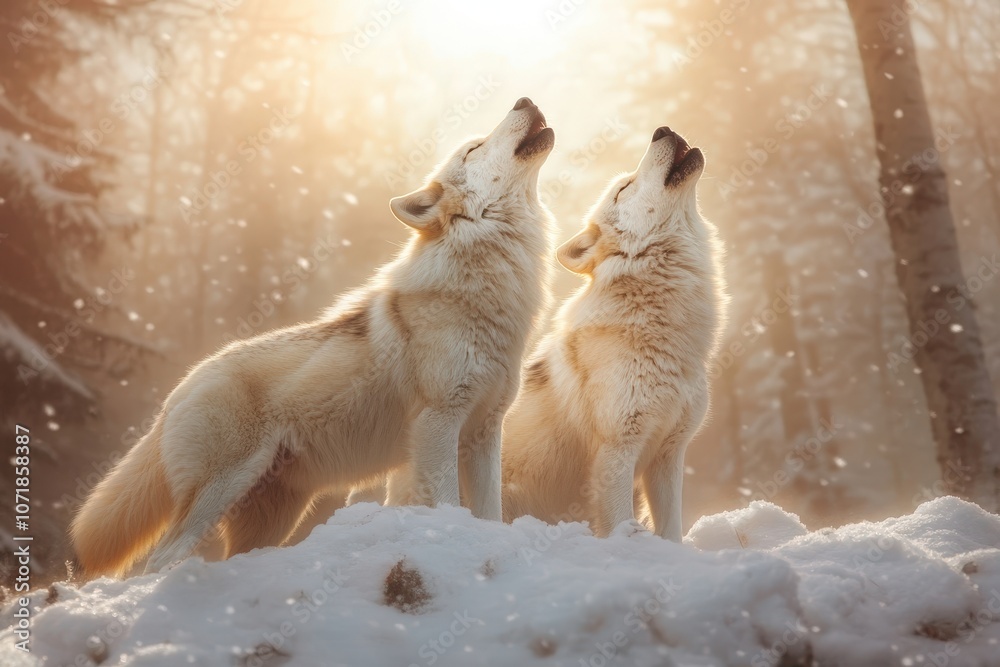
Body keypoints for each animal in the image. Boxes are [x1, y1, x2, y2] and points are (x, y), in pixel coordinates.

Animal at [71, 98, 556, 577]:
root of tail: (180, 389)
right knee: (159, 560)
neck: (485, 287)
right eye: (474, 148)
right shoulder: (437, 424)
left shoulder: (484, 433)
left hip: (272, 519)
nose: (525, 99)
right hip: (220, 492)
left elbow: (490, 513)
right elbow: (446, 503)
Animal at [501, 126, 726, 541]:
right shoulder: (616, 451)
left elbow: (671, 530)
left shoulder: (670, 455)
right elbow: (621, 523)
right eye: (624, 189)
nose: (663, 130)